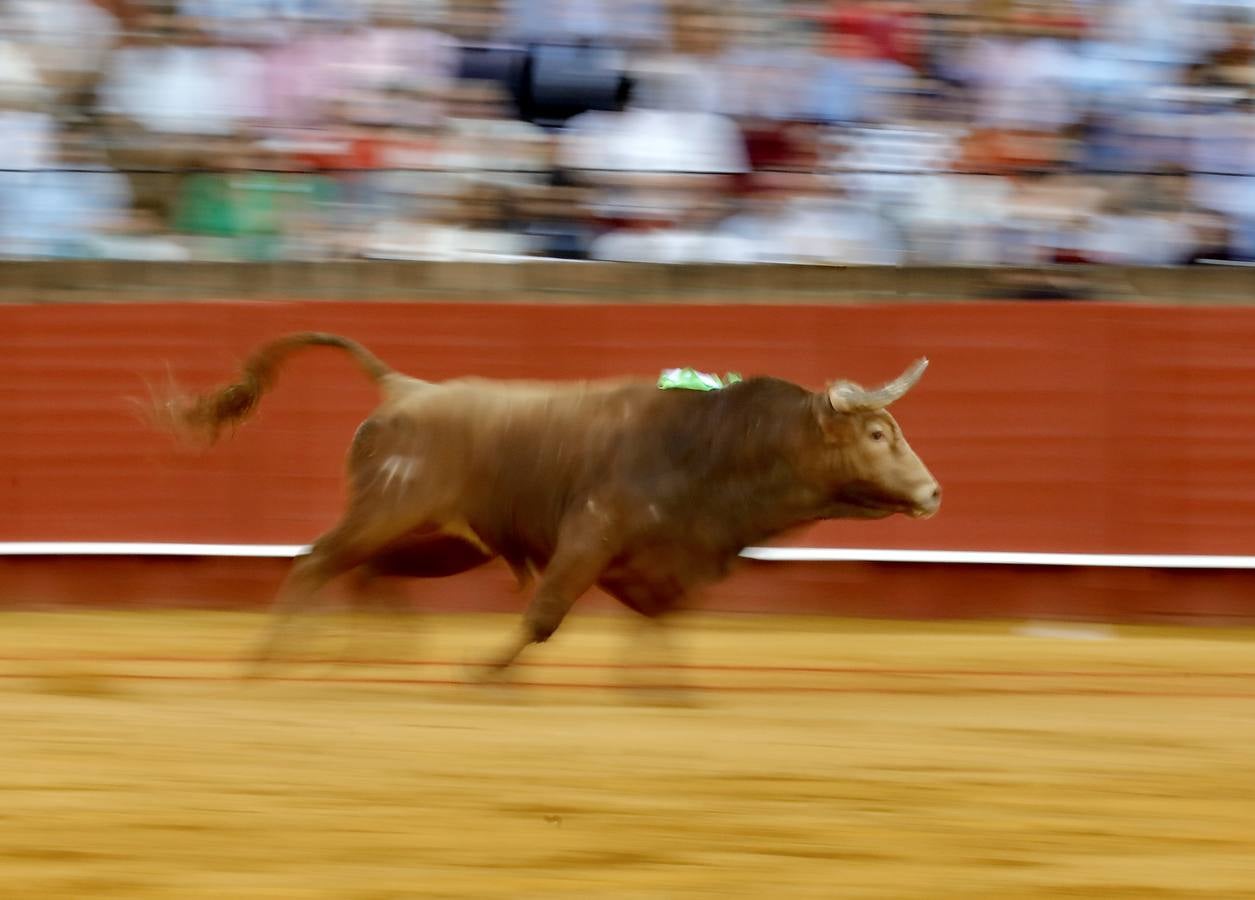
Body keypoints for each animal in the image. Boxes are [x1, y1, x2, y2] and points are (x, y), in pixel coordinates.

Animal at [154, 333, 943, 677]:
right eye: (877, 433)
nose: (933, 492)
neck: (714, 445)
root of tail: (404, 387)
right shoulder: (590, 536)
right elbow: (544, 616)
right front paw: (486, 674)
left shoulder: (655, 560)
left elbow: (659, 621)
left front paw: (667, 694)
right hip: (385, 512)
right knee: (316, 560)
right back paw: (269, 662)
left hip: (437, 542)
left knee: (366, 574)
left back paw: (367, 660)